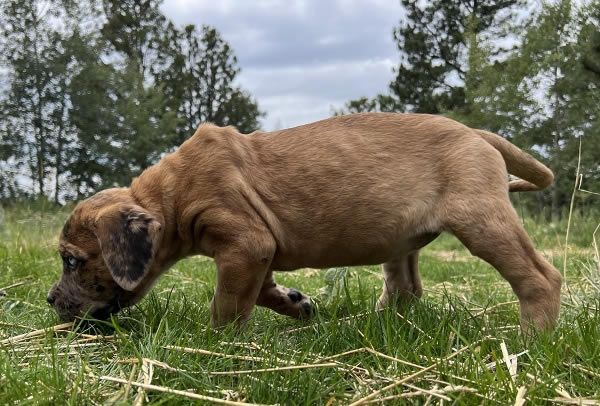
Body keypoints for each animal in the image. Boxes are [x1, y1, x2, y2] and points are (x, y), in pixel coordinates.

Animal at [48, 112, 564, 334]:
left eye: (72, 262)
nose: (50, 300)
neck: (171, 194)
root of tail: (475, 132)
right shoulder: (255, 252)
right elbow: (259, 291)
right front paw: (296, 305)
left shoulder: (245, 243)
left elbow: (228, 304)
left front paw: (217, 345)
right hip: (403, 242)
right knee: (405, 288)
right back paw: (380, 325)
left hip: (482, 220)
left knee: (540, 277)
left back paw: (532, 340)